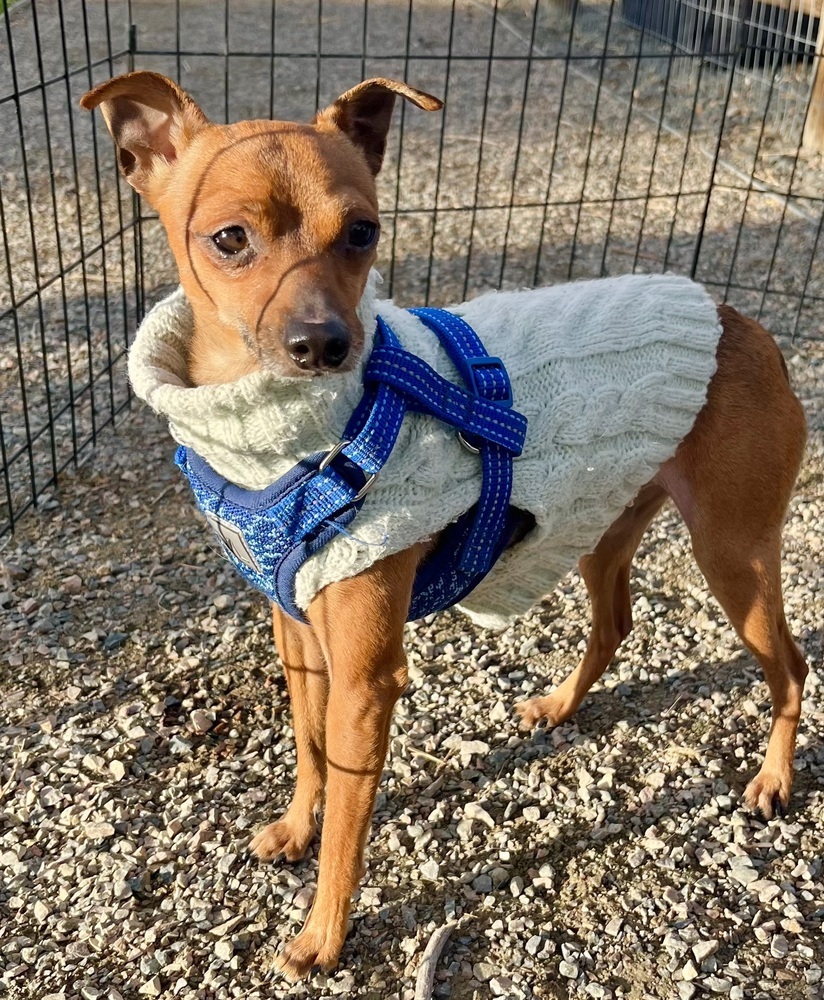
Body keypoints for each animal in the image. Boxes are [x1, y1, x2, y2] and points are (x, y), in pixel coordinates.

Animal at [80, 74, 808, 980]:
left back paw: (773, 779)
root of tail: (747, 323)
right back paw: (560, 704)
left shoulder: (366, 680)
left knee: (790, 666)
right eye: (228, 239)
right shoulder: (298, 635)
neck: (276, 443)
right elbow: (310, 751)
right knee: (614, 624)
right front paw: (294, 828)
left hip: (733, 556)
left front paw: (323, 935)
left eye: (363, 232)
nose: (323, 343)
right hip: (603, 521)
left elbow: (349, 822)